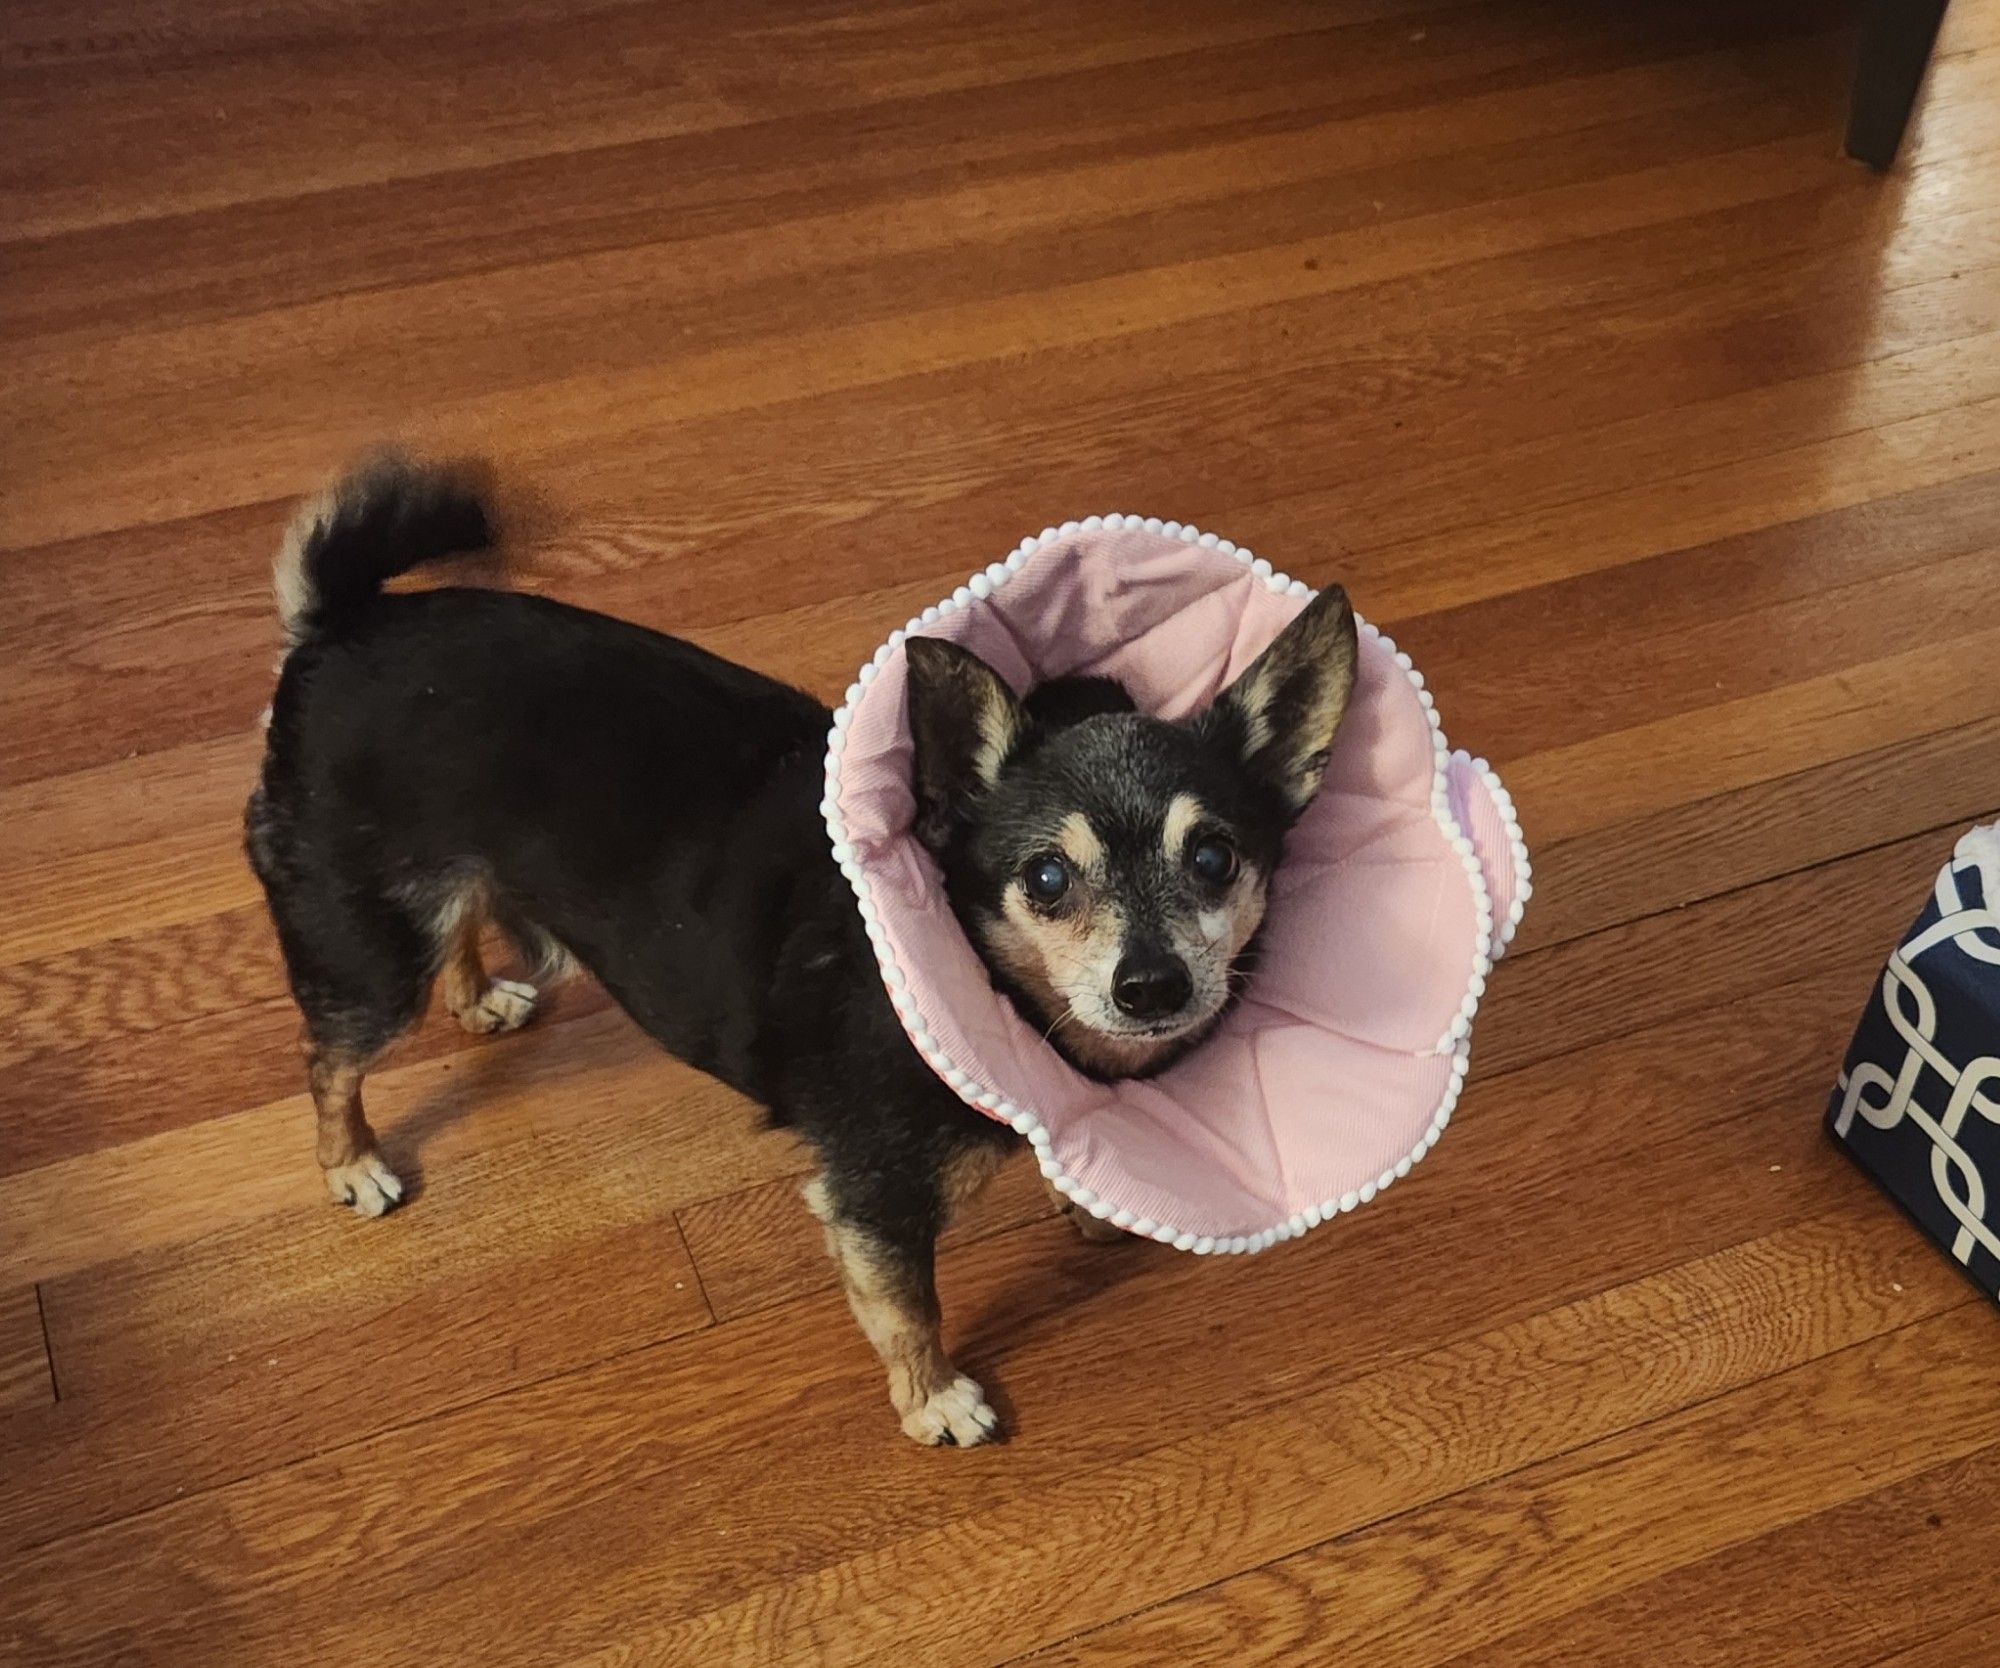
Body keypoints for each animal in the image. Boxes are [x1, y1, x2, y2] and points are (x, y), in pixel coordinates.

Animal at [242, 458, 1352, 1440]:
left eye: (1213, 857)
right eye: (1045, 880)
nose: (1152, 986)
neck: (990, 985)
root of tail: (339, 627)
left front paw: (1086, 1204)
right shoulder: (872, 1200)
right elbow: (908, 1309)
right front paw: (933, 1404)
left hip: (439, 889)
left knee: (456, 926)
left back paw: (478, 999)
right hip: (366, 945)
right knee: (327, 1054)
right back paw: (353, 1164)